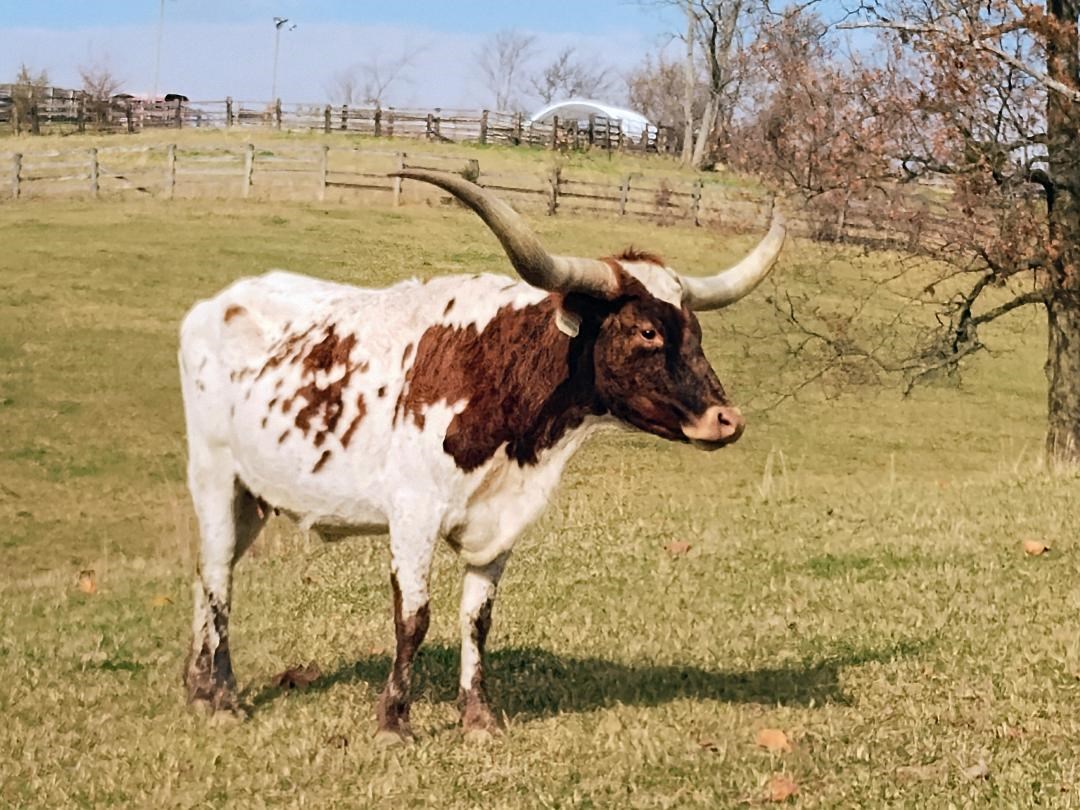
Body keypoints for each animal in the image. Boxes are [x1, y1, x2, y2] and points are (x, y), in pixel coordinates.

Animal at [178, 170, 786, 744]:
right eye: (647, 331)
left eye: (696, 331)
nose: (727, 419)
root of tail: (215, 305)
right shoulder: (413, 514)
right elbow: (413, 617)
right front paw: (394, 720)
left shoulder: (500, 522)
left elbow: (477, 618)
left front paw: (478, 717)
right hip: (213, 473)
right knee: (219, 577)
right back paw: (224, 698)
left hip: (252, 495)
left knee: (208, 569)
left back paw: (196, 687)